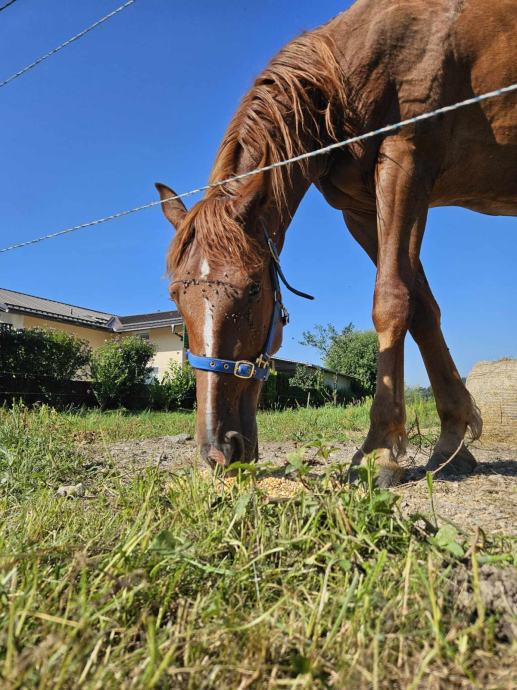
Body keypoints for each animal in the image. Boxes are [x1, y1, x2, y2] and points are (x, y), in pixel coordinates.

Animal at [156, 0, 517, 486]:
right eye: (176, 296)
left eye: (253, 290)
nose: (218, 451)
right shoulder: (362, 212)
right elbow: (422, 311)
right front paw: (450, 443)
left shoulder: (406, 165)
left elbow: (391, 301)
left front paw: (379, 451)